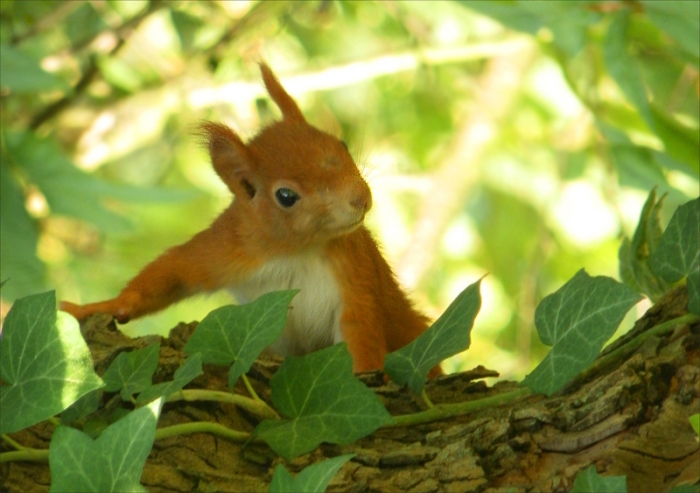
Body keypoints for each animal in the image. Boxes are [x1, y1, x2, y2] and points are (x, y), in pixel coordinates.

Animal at [61, 64, 442, 377]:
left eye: (341, 144)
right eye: (285, 196)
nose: (360, 199)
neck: (295, 252)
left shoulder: (354, 268)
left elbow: (359, 328)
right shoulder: (233, 248)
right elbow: (176, 267)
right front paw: (99, 306)